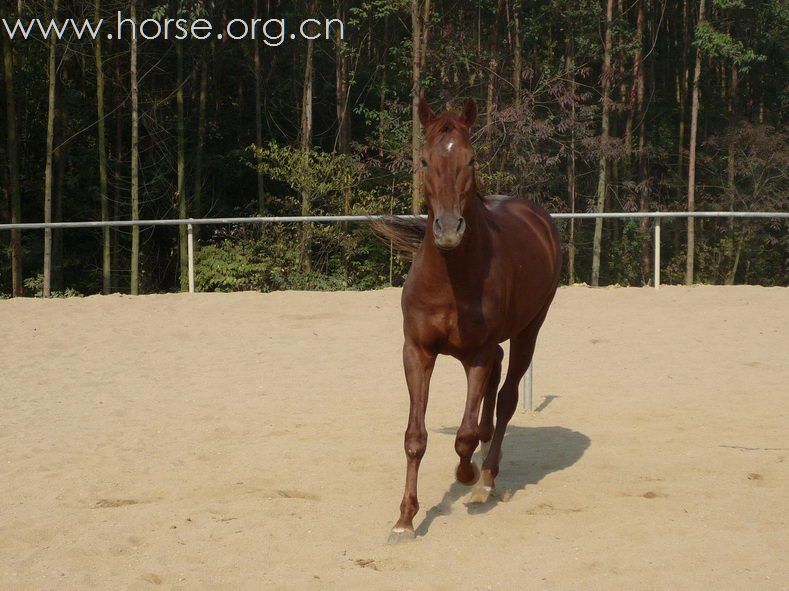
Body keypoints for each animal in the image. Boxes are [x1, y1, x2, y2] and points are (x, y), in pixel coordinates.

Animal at [374, 98, 560, 544]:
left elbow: (464, 436)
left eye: (471, 159)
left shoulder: (476, 355)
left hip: (529, 329)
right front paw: (405, 519)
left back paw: (486, 480)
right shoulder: (417, 352)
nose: (448, 230)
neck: (450, 279)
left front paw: (467, 474)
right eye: (425, 160)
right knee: (495, 386)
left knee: (506, 398)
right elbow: (415, 438)